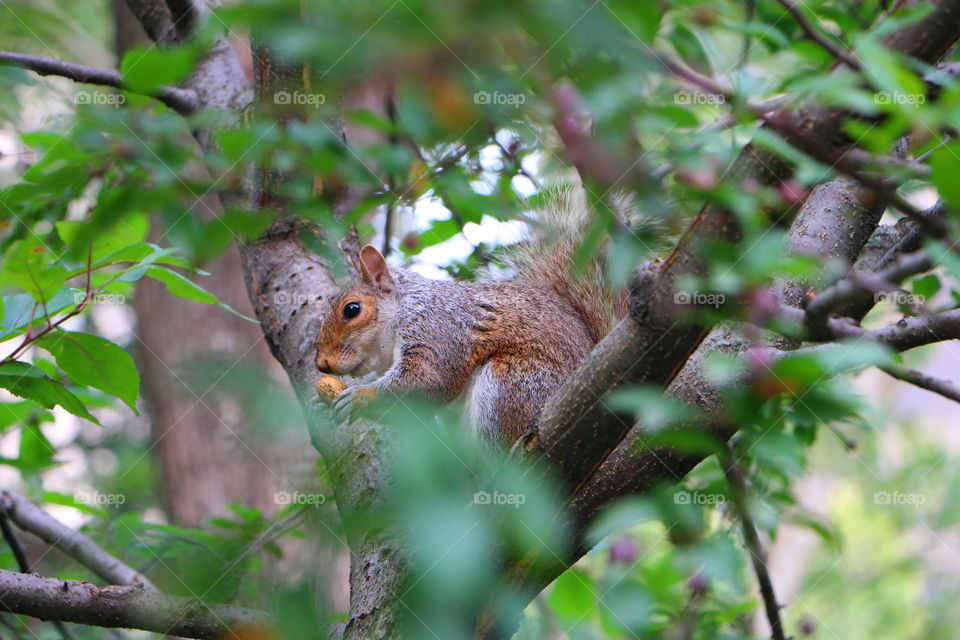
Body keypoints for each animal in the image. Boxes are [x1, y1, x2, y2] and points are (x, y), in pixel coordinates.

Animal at [314, 187, 627, 445]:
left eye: (352, 309)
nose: (321, 364)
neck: (406, 308)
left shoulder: (438, 330)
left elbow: (430, 379)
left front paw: (361, 396)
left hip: (514, 383)